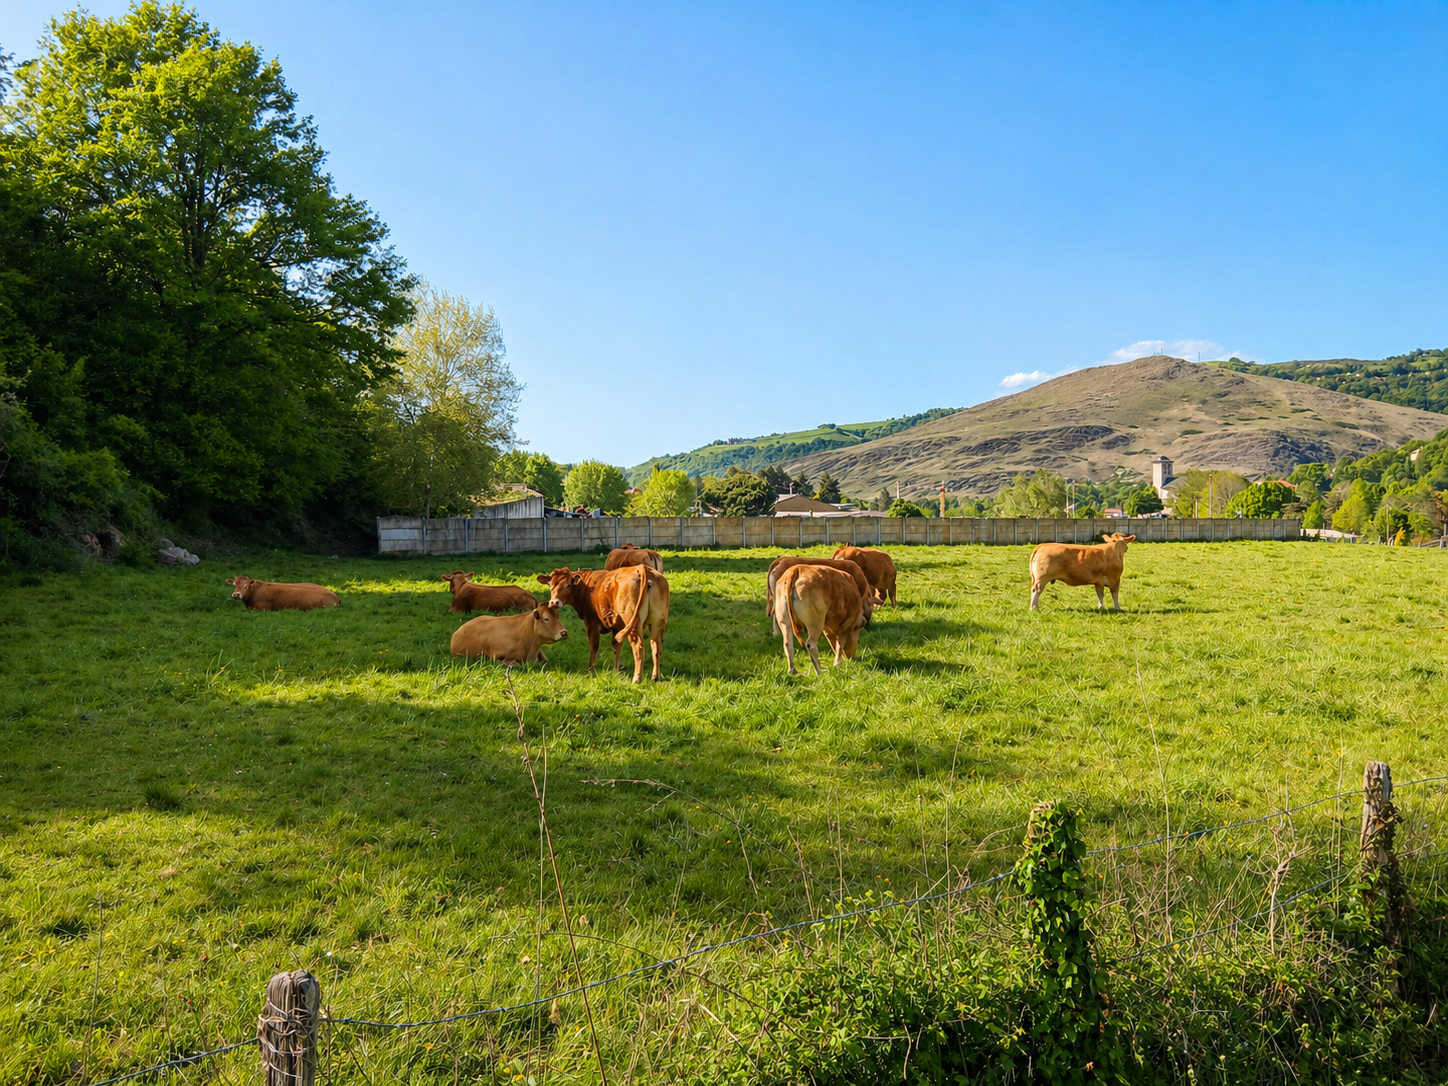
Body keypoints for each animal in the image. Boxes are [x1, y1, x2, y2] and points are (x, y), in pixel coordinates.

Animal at [537, 565, 670, 682]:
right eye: (550, 585)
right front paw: (616, 671)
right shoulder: (617, 627)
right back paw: (655, 677)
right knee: (656, 646)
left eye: (568, 585)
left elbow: (594, 645)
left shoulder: (591, 622)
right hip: (658, 623)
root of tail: (643, 568)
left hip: (633, 623)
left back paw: (637, 678)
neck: (587, 587)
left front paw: (590, 669)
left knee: (638, 646)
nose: (554, 602)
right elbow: (616, 647)